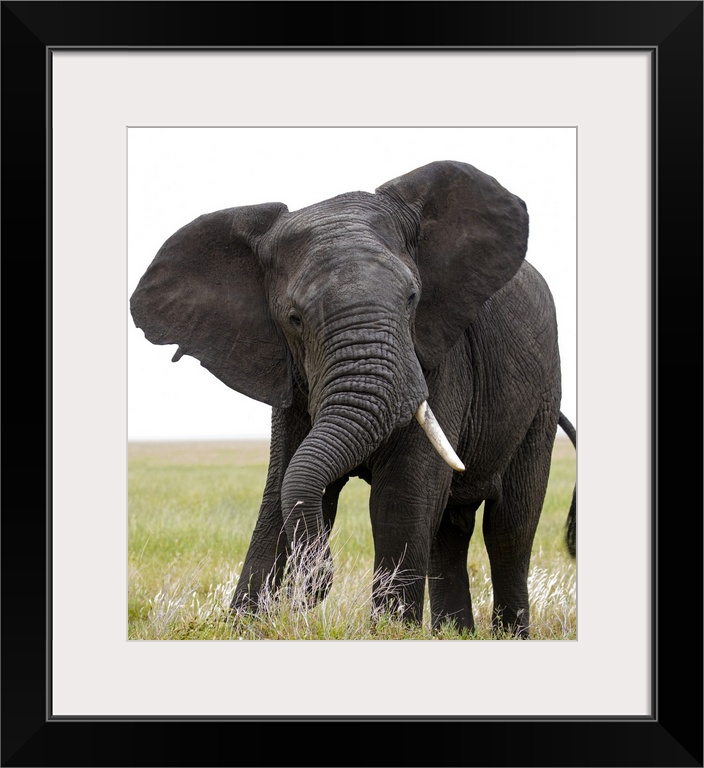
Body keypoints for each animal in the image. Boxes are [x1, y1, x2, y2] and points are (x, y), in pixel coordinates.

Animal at [129, 160, 576, 636]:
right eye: (294, 319)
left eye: (413, 298)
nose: (315, 584)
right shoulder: (290, 377)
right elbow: (282, 489)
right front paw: (243, 628)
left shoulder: (437, 354)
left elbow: (401, 497)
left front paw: (391, 633)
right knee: (450, 528)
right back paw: (454, 635)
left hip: (544, 390)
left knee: (510, 526)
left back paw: (507, 634)